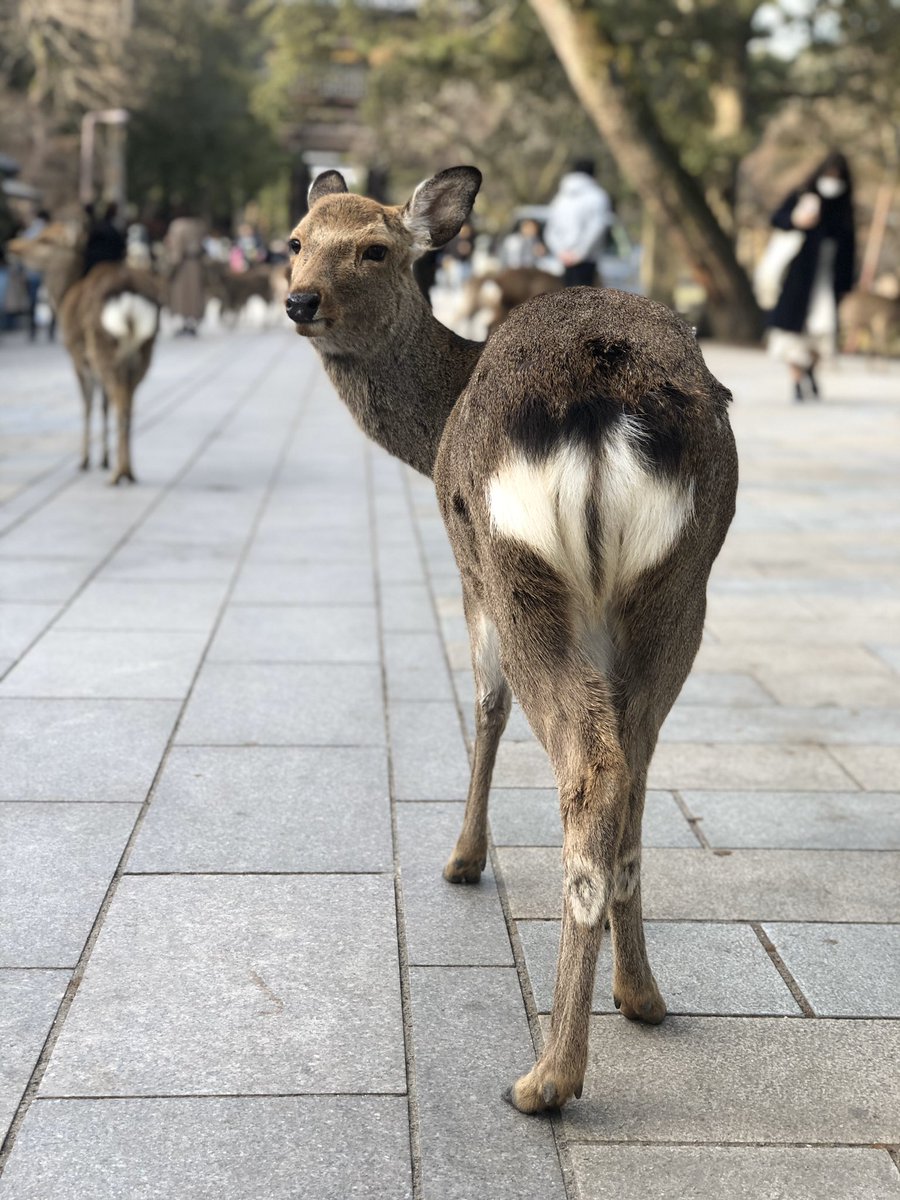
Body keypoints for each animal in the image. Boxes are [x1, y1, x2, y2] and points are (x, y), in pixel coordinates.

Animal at [8, 221, 160, 485]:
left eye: (45, 240)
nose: (13, 246)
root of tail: (129, 295)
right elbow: (103, 404)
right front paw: (103, 459)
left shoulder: (77, 357)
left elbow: (88, 403)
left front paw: (85, 461)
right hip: (143, 351)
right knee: (128, 402)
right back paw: (129, 471)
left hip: (104, 347)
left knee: (120, 402)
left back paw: (117, 474)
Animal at [285, 167, 738, 1115]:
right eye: (296, 239)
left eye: (375, 248)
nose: (299, 300)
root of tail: (608, 407)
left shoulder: (467, 570)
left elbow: (484, 703)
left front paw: (461, 861)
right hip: (681, 585)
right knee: (633, 759)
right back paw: (642, 996)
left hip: (517, 566)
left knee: (590, 763)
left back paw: (547, 1077)